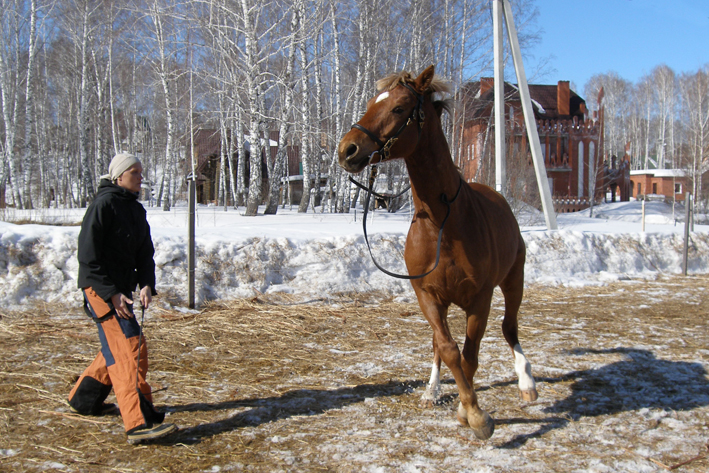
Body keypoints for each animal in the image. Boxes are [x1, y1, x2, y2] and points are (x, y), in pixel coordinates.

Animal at [338, 65, 536, 438]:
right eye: (371, 103)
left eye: (399, 108)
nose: (347, 149)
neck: (444, 223)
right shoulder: (426, 294)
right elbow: (447, 349)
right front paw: (469, 408)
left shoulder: (480, 300)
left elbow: (470, 356)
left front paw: (470, 412)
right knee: (439, 345)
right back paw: (432, 391)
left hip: (513, 281)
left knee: (510, 328)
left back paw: (526, 381)